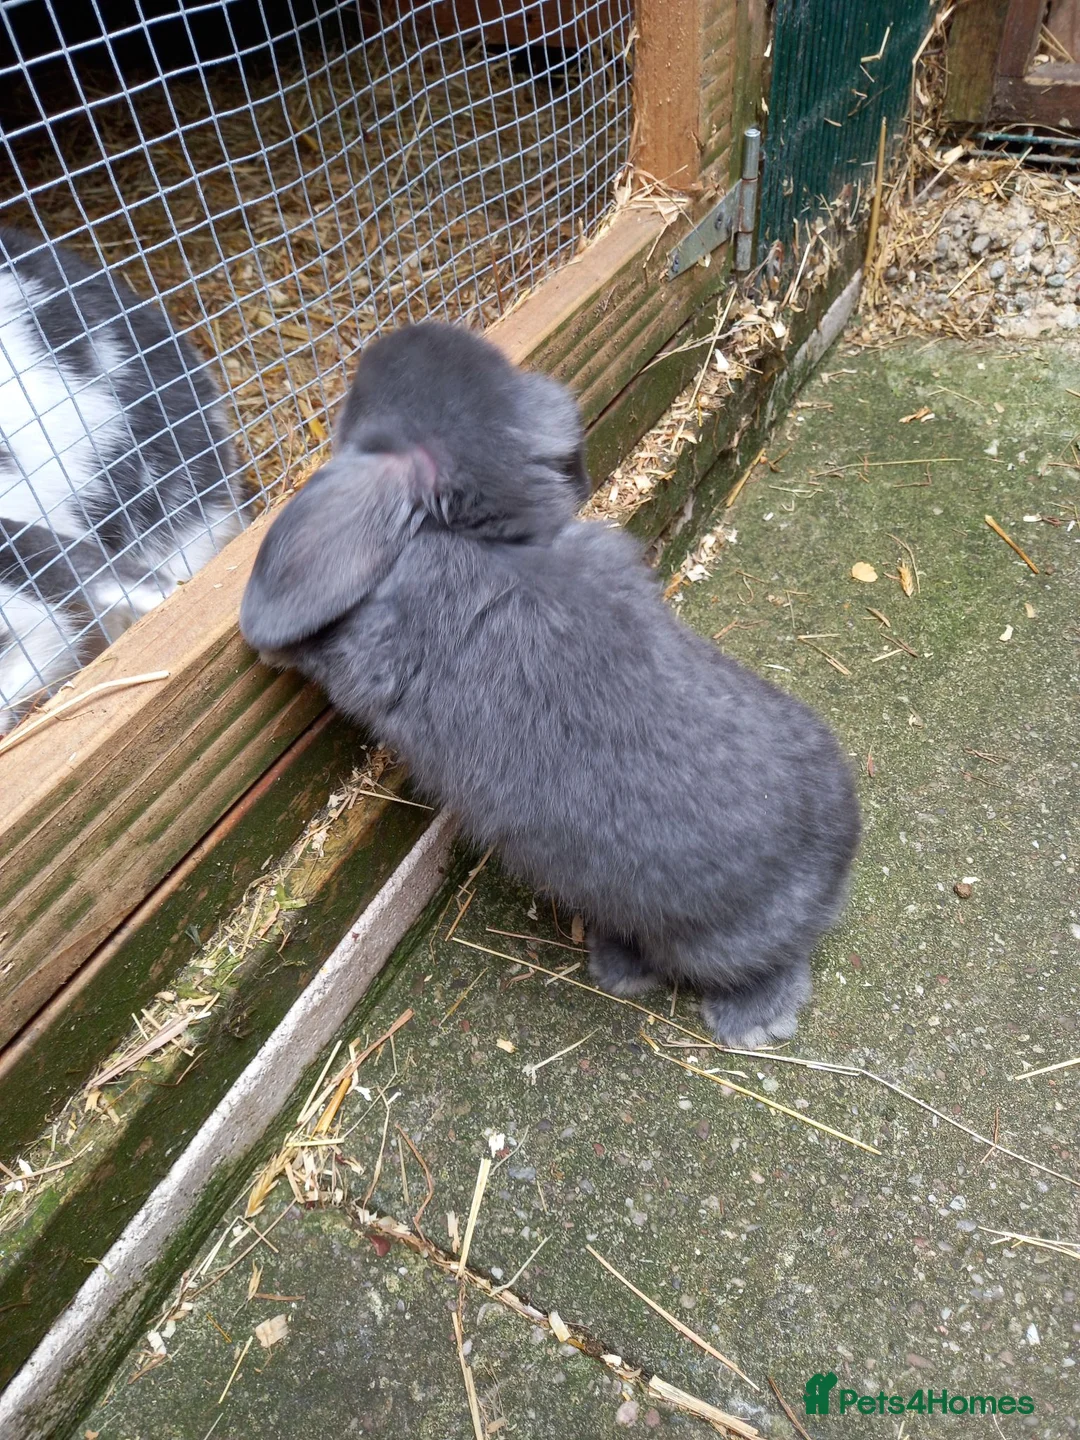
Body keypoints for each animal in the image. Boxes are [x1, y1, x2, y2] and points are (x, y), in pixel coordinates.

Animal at [240, 322, 860, 1047]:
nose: (378, 346)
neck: (490, 537)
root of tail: (840, 857)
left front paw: (269, 648)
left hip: (720, 944)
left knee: (769, 967)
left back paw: (749, 1021)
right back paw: (616, 964)